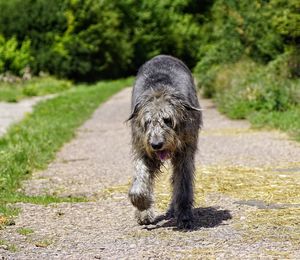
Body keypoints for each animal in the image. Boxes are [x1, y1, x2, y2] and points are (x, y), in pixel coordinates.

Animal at [127, 54, 203, 228]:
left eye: (168, 120)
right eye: (148, 122)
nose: (156, 145)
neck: (160, 89)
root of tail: (163, 55)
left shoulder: (185, 151)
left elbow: (183, 184)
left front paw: (184, 214)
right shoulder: (142, 146)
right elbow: (140, 180)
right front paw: (143, 206)